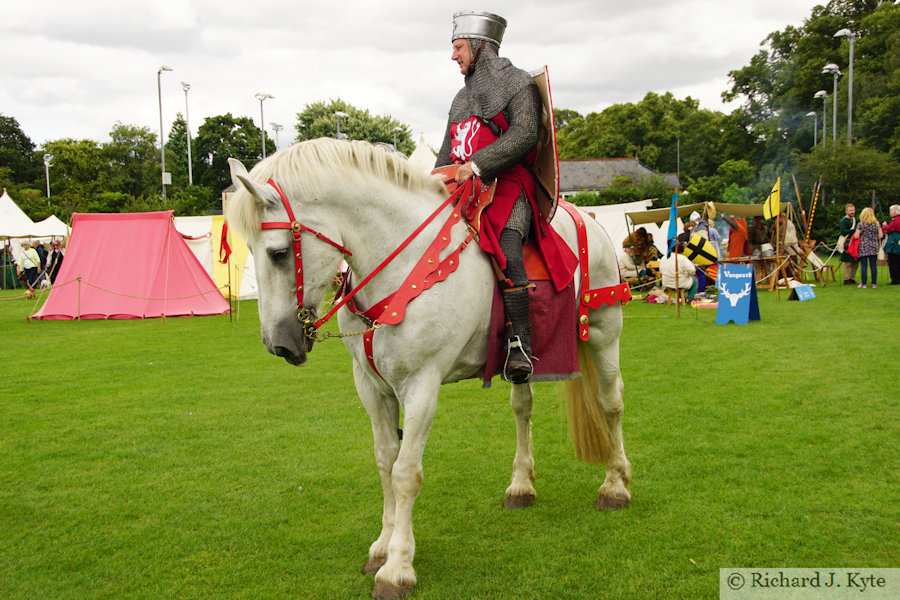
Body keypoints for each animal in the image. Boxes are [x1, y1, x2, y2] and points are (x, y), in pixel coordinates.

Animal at [227, 137, 632, 600]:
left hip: (603, 330)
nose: (279, 344)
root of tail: (588, 220)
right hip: (525, 362)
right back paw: (521, 484)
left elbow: (406, 473)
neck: (404, 264)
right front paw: (382, 547)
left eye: (277, 253)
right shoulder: (371, 386)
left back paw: (616, 485)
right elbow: (385, 461)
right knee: (523, 406)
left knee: (611, 403)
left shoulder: (421, 386)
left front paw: (398, 567)